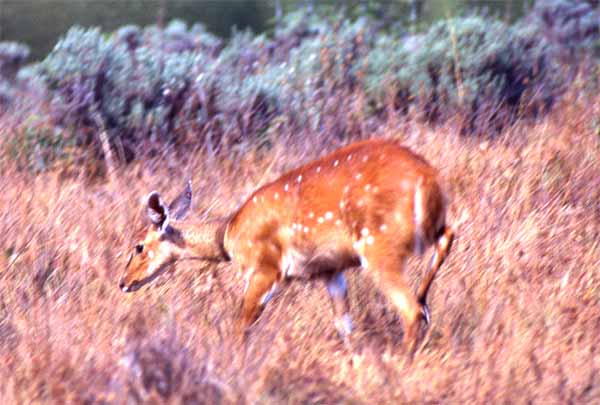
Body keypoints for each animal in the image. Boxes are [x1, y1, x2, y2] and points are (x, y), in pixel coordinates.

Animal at [119, 137, 452, 352]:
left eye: (138, 246)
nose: (123, 282)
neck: (228, 234)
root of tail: (429, 180)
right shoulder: (330, 271)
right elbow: (345, 327)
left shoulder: (265, 268)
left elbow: (241, 323)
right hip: (425, 232)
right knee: (446, 241)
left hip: (378, 246)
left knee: (409, 309)